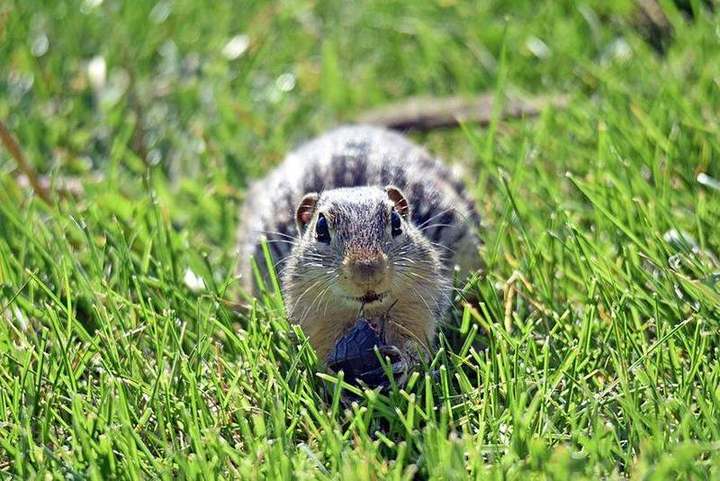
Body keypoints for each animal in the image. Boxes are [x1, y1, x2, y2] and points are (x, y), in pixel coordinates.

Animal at [237, 125, 482, 369]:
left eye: (396, 222)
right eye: (321, 228)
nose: (367, 272)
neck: (368, 312)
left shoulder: (421, 302)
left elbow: (417, 340)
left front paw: (402, 361)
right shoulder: (312, 317)